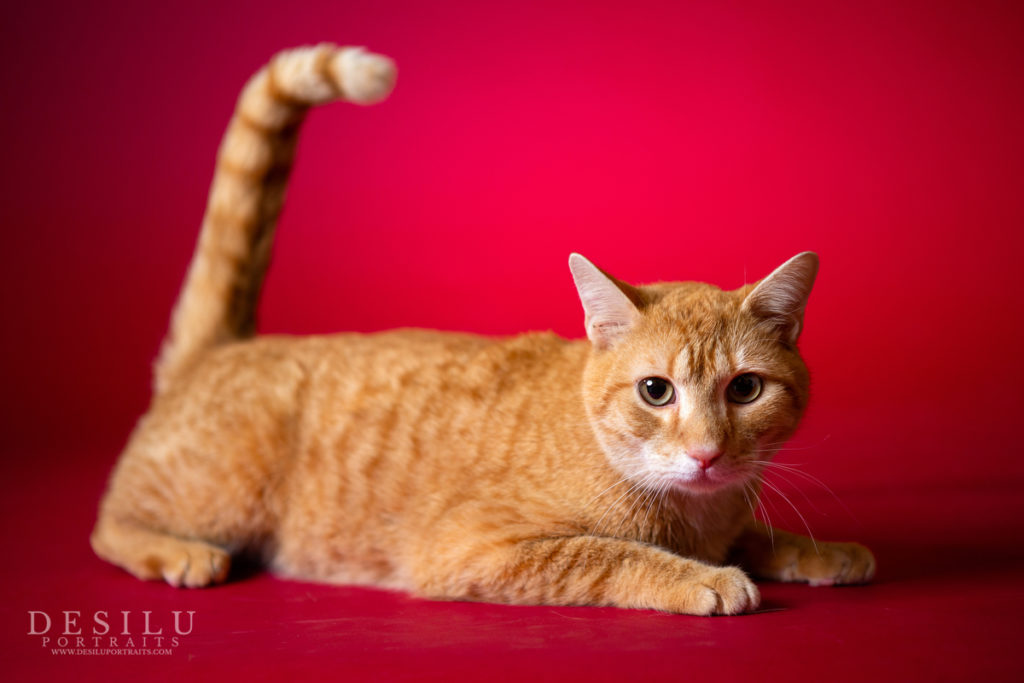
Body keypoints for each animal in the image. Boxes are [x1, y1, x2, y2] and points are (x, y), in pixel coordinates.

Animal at [92, 45, 872, 618]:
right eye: (656, 391)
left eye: (744, 389)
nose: (707, 454)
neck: (690, 512)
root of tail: (228, 347)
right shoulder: (474, 547)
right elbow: (603, 554)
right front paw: (701, 578)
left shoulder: (727, 518)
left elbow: (758, 536)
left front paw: (822, 550)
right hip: (221, 490)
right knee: (108, 524)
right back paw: (177, 552)